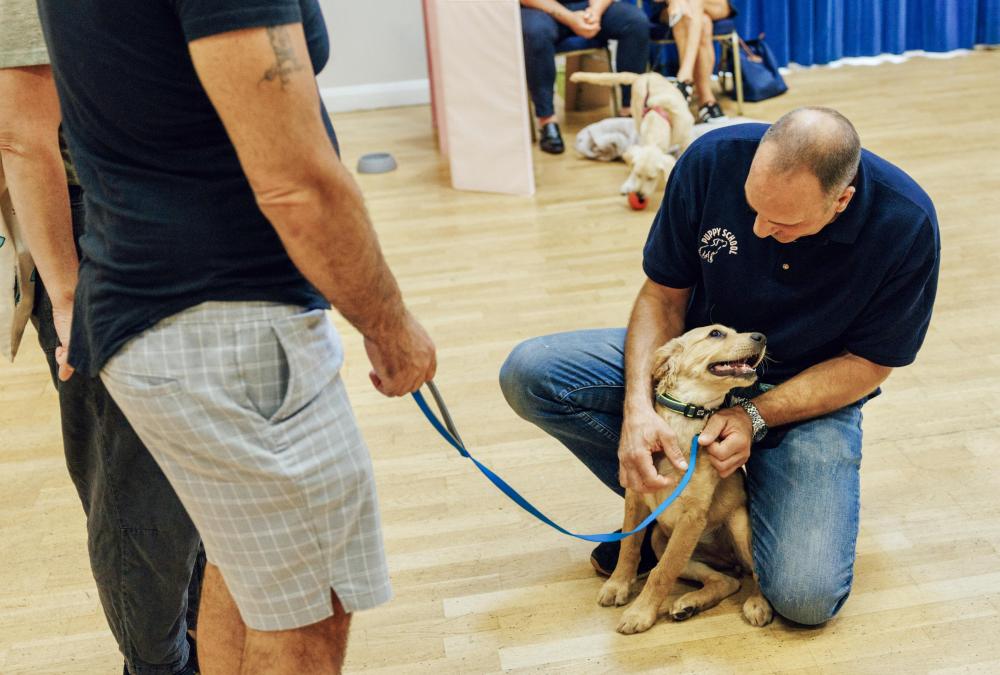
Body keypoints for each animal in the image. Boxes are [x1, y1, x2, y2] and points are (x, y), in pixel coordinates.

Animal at [596, 324, 776, 636]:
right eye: (716, 333)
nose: (761, 337)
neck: (686, 420)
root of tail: (729, 562)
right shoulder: (636, 495)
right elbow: (629, 546)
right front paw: (617, 584)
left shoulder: (693, 516)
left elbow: (662, 572)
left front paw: (640, 613)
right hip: (660, 538)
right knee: (726, 580)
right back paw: (688, 603)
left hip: (739, 525)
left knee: (756, 573)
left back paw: (758, 603)